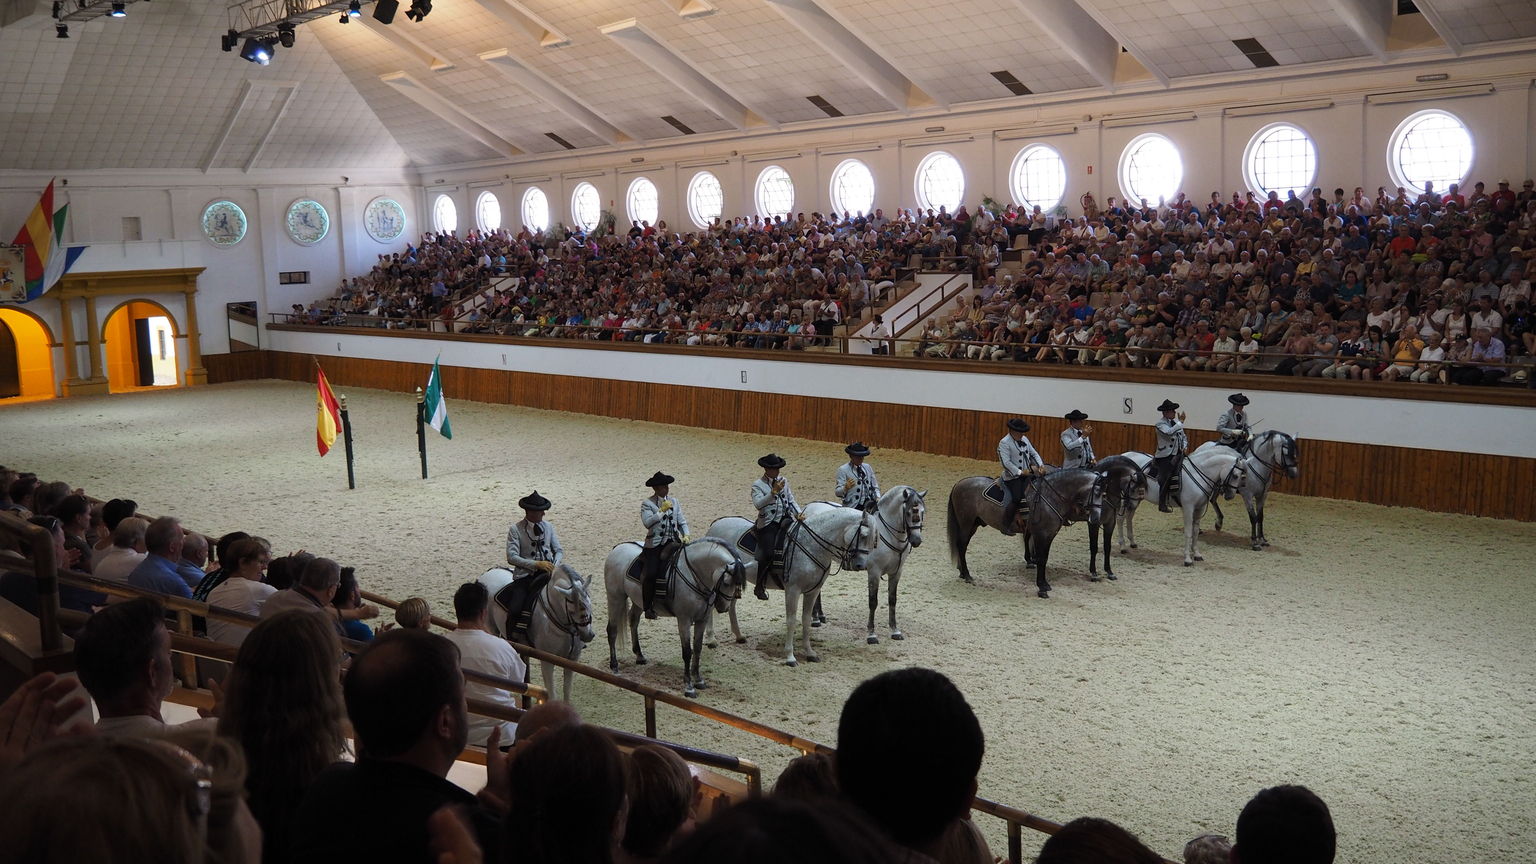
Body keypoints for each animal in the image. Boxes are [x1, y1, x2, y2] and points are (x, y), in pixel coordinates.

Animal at [476, 565, 595, 701]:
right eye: (572, 610)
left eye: (589, 602)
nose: (588, 635)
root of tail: (487, 574)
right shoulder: (547, 661)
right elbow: (552, 695)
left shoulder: (572, 660)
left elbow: (567, 692)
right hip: (491, 630)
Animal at [599, 535, 743, 694]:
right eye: (726, 582)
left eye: (737, 584)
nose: (724, 607)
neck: (694, 575)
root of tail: (618, 547)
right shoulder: (684, 620)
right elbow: (687, 652)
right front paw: (689, 686)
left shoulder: (702, 620)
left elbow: (697, 649)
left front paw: (698, 680)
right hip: (616, 598)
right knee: (612, 630)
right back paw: (614, 666)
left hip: (639, 601)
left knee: (633, 620)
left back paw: (639, 656)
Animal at [709, 501, 878, 661]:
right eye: (863, 535)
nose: (861, 565)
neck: (810, 544)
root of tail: (716, 525)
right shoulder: (793, 590)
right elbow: (791, 620)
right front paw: (790, 656)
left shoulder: (812, 592)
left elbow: (806, 620)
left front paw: (810, 653)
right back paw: (711, 639)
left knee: (731, 605)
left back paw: (739, 636)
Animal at [804, 485, 921, 639]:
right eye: (908, 512)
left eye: (923, 512)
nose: (917, 540)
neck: (887, 534)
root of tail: (809, 506)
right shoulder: (874, 572)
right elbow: (873, 602)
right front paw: (871, 634)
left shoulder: (896, 572)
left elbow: (892, 600)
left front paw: (895, 630)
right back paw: (816, 619)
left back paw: (820, 616)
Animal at [1118, 442, 1247, 565]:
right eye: (1235, 475)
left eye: (1242, 476)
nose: (1230, 495)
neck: (1197, 474)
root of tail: (1124, 455)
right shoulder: (1188, 508)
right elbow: (1188, 532)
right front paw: (1187, 559)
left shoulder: (1199, 508)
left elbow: (1195, 532)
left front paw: (1197, 554)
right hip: (1125, 499)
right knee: (1120, 519)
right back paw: (1122, 546)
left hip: (1135, 499)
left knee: (1129, 517)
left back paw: (1132, 542)